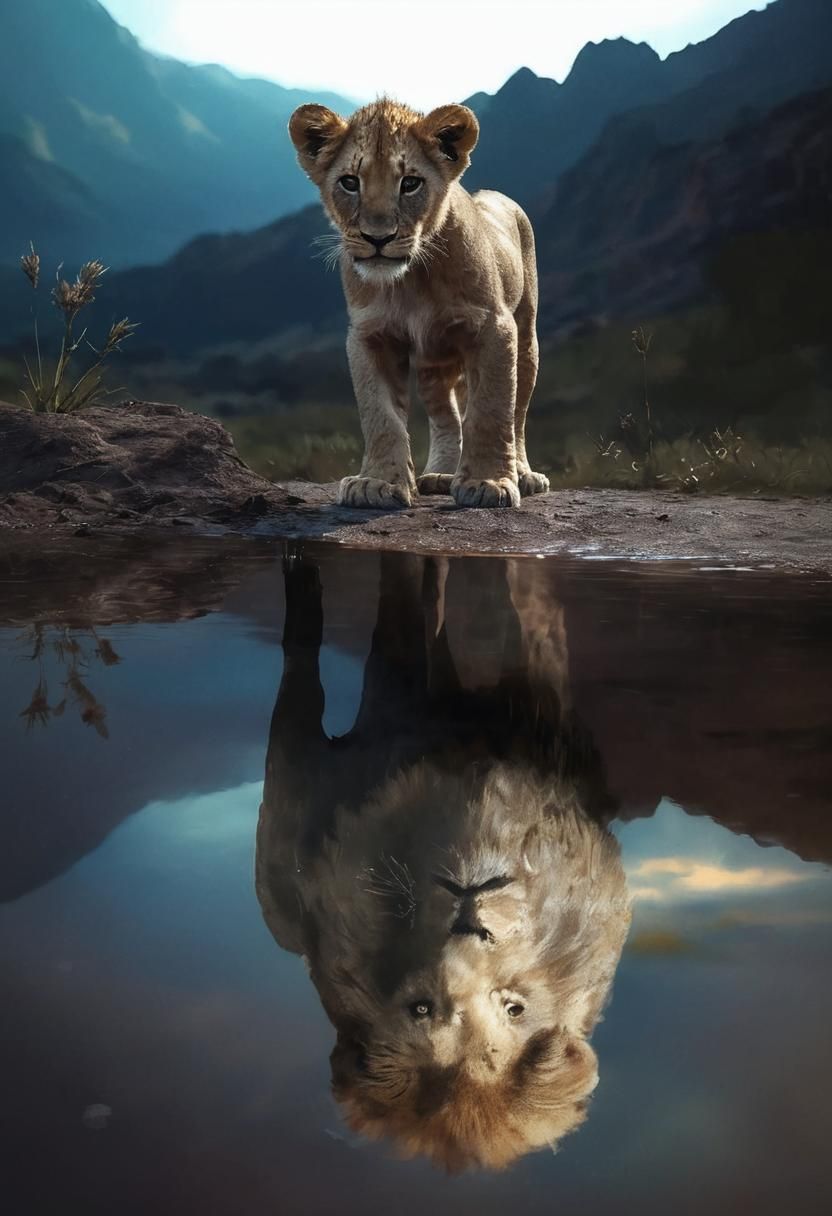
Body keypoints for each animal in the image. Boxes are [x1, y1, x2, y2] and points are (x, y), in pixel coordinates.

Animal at [256, 552, 631, 1171]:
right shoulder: (372, 731)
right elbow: (398, 616)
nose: (471, 917)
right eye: (420, 1009)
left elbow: (525, 620)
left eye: (514, 1008)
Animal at [288, 97, 549, 509]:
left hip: (526, 340)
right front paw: (376, 483)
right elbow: (380, 415)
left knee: (518, 409)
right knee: (446, 417)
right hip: (434, 364)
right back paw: (441, 475)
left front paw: (488, 483)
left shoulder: (494, 328)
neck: (411, 281)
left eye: (410, 183)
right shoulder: (369, 335)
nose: (377, 238)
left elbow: (492, 408)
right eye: (350, 182)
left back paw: (523, 475)